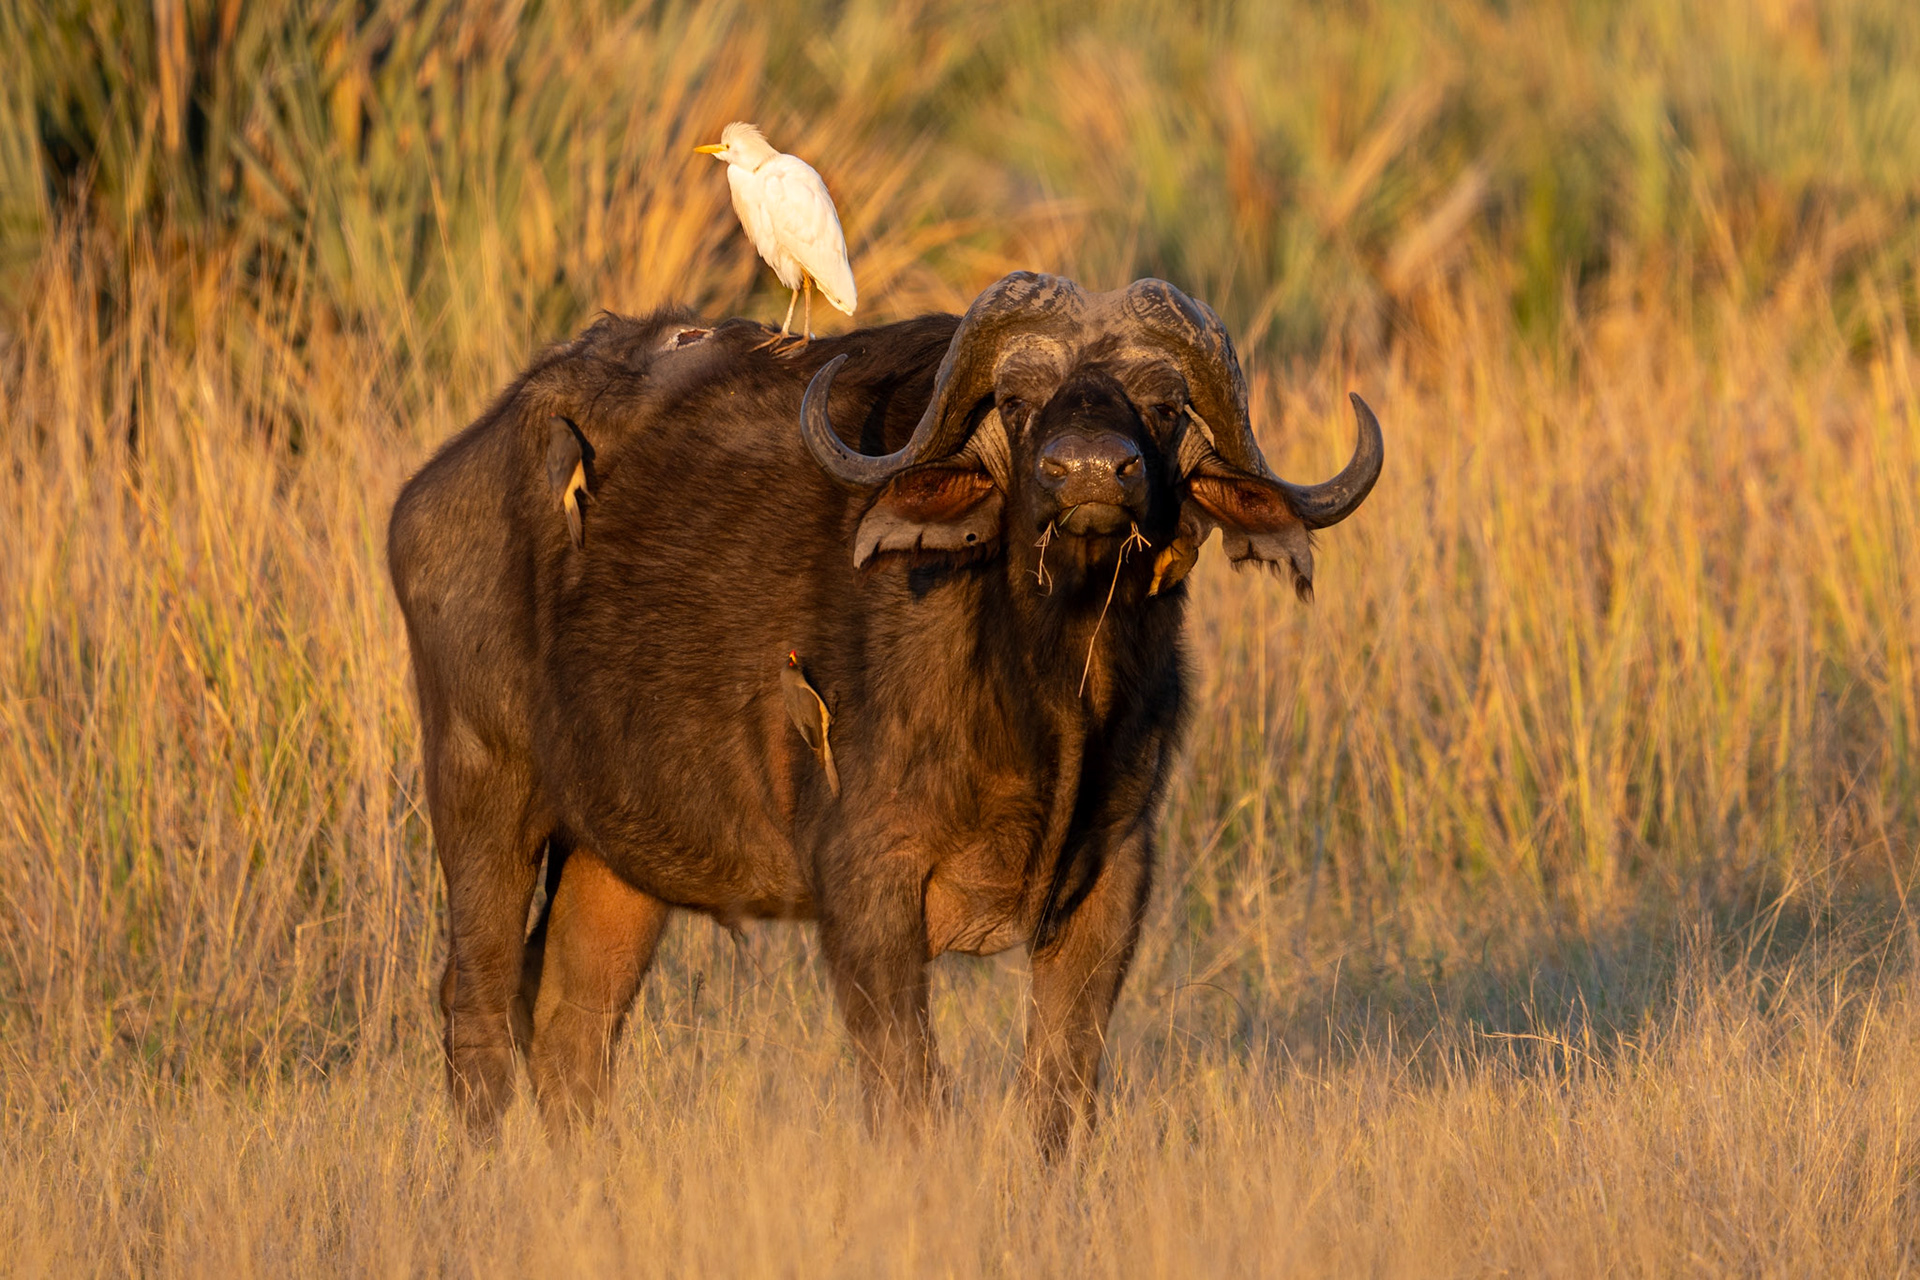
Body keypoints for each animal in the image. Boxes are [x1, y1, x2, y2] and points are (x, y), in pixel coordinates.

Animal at [387, 271, 1382, 1154]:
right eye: (1017, 401)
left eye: (1166, 405)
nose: (1091, 473)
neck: (1047, 686)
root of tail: (431, 491)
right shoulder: (867, 884)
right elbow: (909, 1092)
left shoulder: (1115, 876)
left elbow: (1058, 1093)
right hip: (481, 795)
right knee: (477, 1006)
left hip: (615, 859)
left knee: (572, 1026)